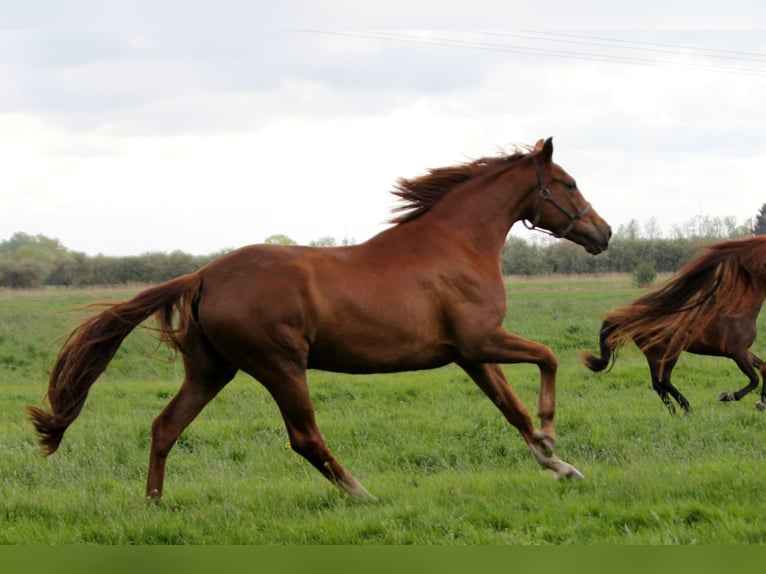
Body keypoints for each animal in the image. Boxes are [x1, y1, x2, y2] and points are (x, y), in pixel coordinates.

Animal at [28, 138, 611, 501]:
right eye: (568, 182)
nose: (603, 233)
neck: (457, 245)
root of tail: (204, 275)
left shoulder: (469, 355)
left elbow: (511, 409)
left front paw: (559, 465)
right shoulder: (482, 340)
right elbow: (549, 359)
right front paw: (553, 434)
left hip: (212, 370)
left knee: (166, 426)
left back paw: (154, 504)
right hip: (281, 367)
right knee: (305, 438)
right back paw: (362, 493)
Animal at [581, 236, 766, 414]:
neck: (738, 309)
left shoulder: (742, 351)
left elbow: (763, 366)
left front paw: (761, 403)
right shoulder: (736, 352)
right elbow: (754, 379)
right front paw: (727, 396)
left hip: (654, 353)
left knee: (657, 382)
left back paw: (674, 411)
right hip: (671, 350)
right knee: (663, 379)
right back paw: (687, 409)